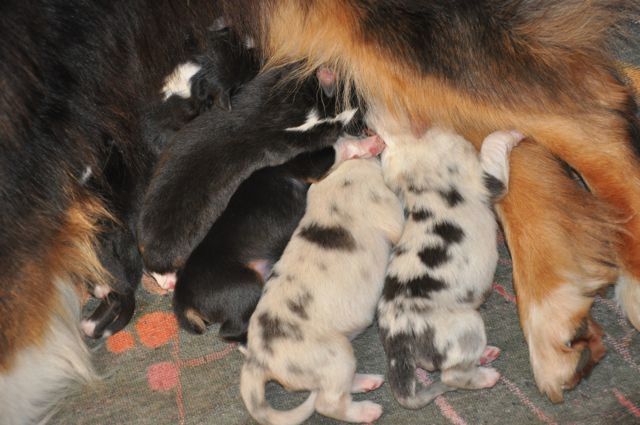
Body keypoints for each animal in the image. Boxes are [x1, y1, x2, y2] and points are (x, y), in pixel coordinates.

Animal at [172, 134, 384, 340]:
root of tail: (183, 300)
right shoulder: (310, 164)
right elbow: (341, 145)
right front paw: (371, 142)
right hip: (246, 286)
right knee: (230, 330)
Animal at [240, 155, 404, 424]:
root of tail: (258, 359)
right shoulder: (383, 202)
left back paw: (366, 382)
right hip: (336, 355)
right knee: (327, 403)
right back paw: (366, 411)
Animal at [372, 119, 524, 408]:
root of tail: (398, 337)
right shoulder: (488, 179)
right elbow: (493, 144)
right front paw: (512, 133)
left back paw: (485, 355)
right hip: (468, 325)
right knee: (452, 375)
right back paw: (486, 375)